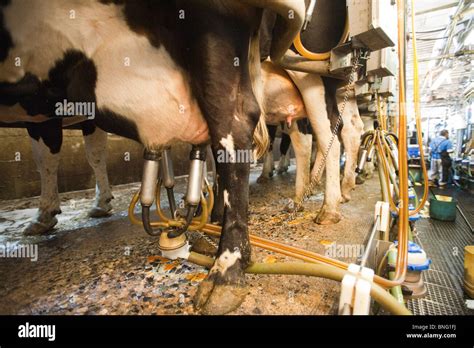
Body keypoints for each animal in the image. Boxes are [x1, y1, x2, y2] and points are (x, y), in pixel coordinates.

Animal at [0, 0, 306, 316]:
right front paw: (87, 205)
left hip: (216, 24)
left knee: (233, 124)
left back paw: (225, 271)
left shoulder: (44, 119)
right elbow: (87, 154)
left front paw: (47, 213)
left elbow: (48, 158)